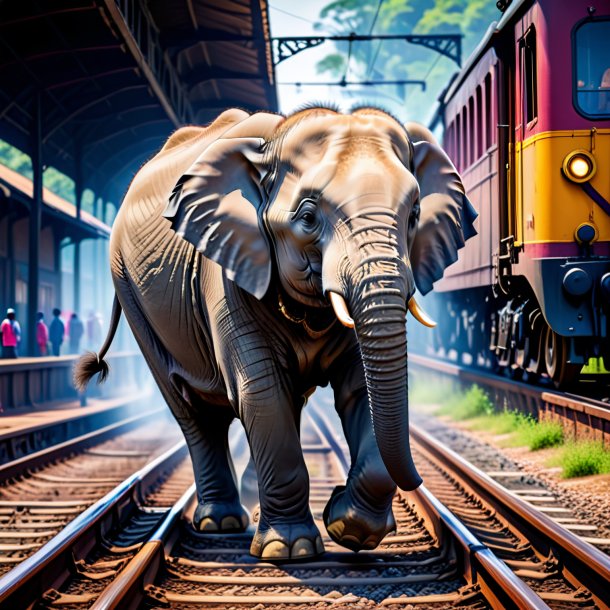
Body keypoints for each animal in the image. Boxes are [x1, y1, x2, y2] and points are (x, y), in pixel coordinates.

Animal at [75, 103, 476, 556]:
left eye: (414, 216)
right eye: (307, 217)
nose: (421, 482)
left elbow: (358, 389)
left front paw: (350, 530)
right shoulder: (224, 271)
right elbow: (261, 392)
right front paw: (291, 549)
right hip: (130, 291)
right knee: (194, 412)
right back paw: (221, 522)